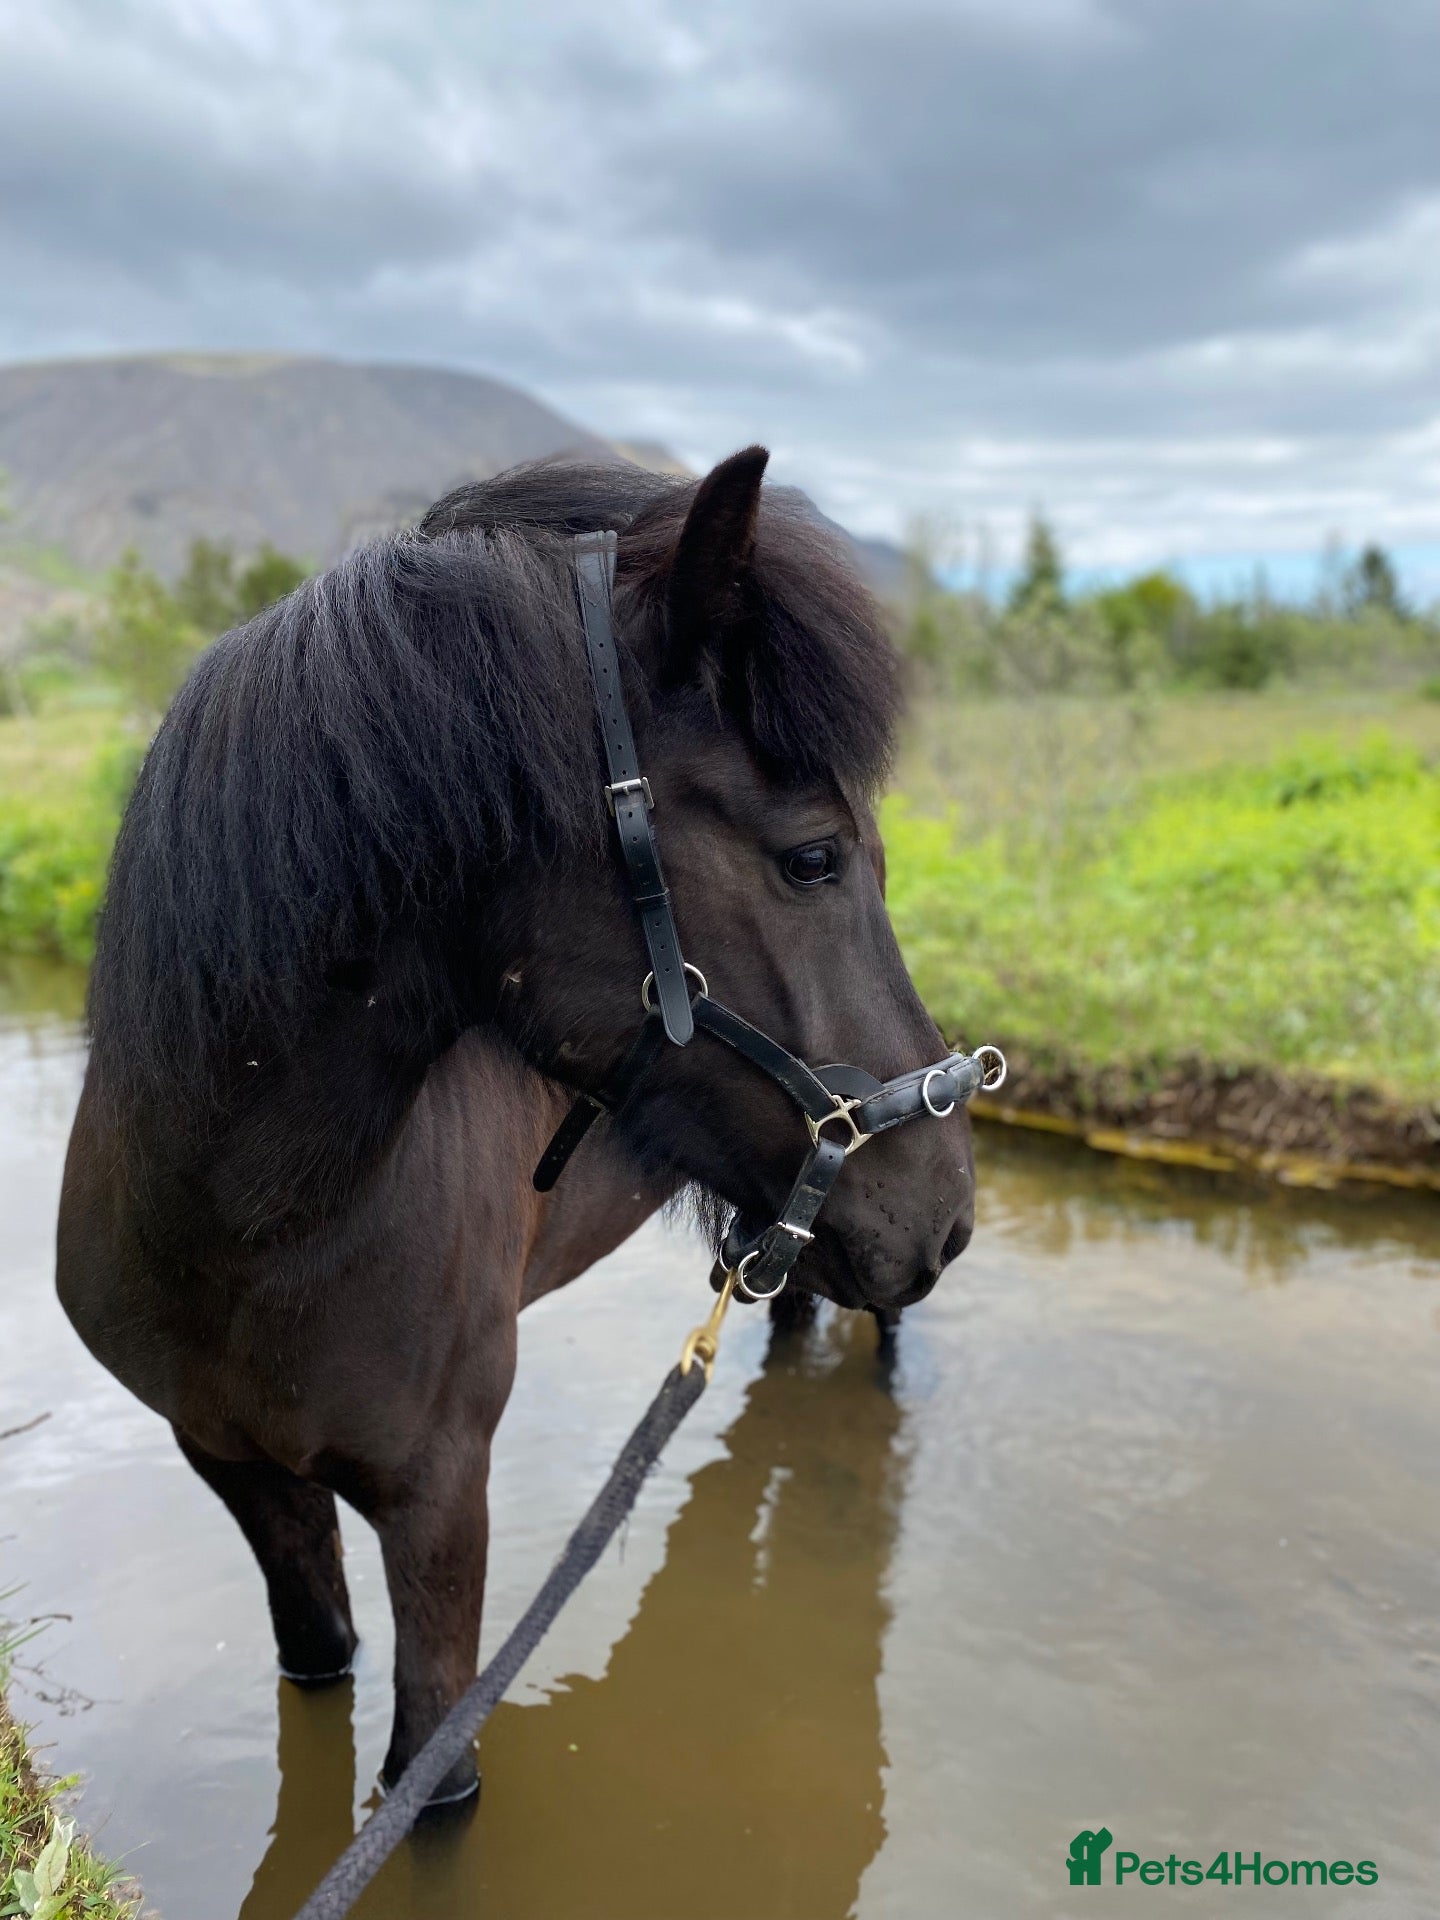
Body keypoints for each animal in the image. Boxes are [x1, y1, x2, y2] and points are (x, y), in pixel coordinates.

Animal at [56, 447, 978, 1808]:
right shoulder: (233, 1465)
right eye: (813, 856)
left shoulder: (441, 1499)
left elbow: (430, 1782)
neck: (252, 1235)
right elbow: (317, 1665)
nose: (947, 1203)